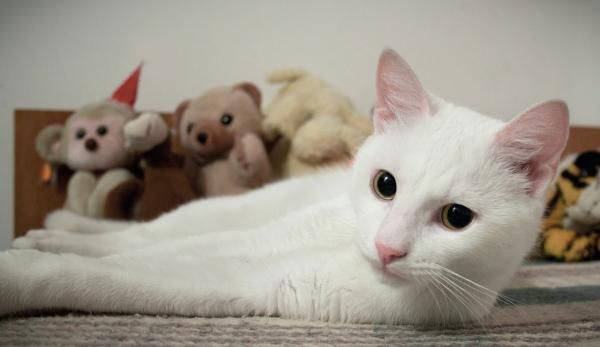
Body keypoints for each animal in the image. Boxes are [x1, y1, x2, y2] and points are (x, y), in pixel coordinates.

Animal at [3, 49, 568, 326]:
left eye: (456, 218)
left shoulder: (260, 281)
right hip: (236, 212)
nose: (387, 248)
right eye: (385, 185)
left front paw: (24, 270)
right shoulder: (256, 238)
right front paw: (36, 252)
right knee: (143, 232)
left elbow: (108, 274)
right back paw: (57, 226)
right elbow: (134, 253)